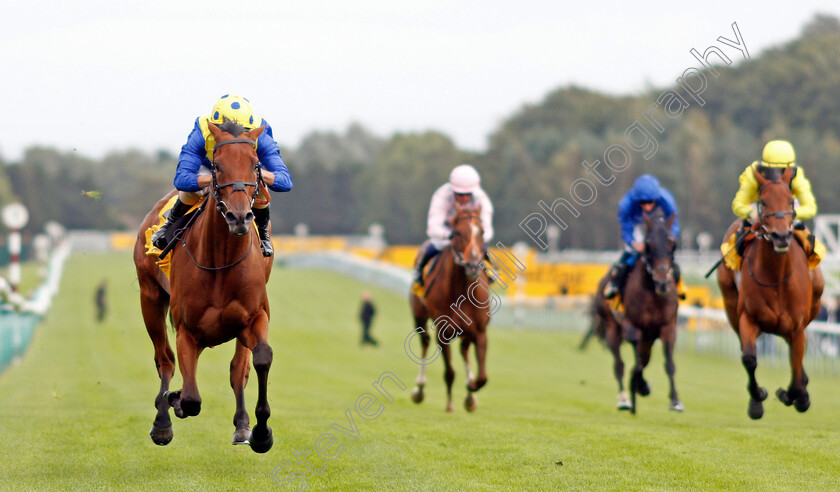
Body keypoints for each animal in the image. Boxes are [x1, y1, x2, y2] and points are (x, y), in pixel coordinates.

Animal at [133, 121, 274, 452]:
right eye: (217, 166)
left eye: (256, 164)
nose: (239, 217)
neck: (221, 262)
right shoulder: (187, 329)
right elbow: (191, 398)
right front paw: (172, 402)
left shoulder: (255, 317)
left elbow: (260, 358)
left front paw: (261, 432)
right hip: (149, 296)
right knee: (165, 360)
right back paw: (163, 421)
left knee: (238, 369)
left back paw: (242, 425)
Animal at [408, 202, 488, 414]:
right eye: (457, 233)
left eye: (482, 231)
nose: (472, 265)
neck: (462, 290)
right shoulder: (443, 332)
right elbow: (450, 372)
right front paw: (450, 405)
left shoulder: (480, 331)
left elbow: (482, 378)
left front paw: (471, 391)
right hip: (419, 315)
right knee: (425, 341)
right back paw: (419, 389)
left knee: (464, 350)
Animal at [592, 213, 684, 414]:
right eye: (648, 244)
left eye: (672, 243)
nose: (663, 282)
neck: (652, 293)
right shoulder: (631, 326)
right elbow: (637, 364)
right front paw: (640, 385)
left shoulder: (668, 327)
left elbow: (669, 364)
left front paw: (675, 400)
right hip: (612, 328)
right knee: (619, 364)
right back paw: (624, 399)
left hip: (648, 338)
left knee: (643, 359)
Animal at [716, 166, 828, 418]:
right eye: (764, 202)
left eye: (790, 200)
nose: (781, 236)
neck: (776, 278)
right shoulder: (748, 318)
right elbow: (749, 358)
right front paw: (757, 400)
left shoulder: (797, 326)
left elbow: (796, 364)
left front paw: (796, 395)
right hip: (731, 306)